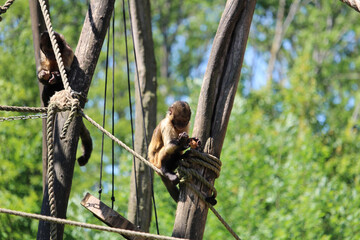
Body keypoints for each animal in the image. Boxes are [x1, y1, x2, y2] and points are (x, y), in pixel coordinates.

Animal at [36, 31, 92, 167]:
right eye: (46, 50)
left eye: (51, 47)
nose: (49, 54)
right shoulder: (43, 57)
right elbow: (43, 75)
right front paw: (43, 75)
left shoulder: (67, 52)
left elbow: (67, 71)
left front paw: (56, 76)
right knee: (46, 90)